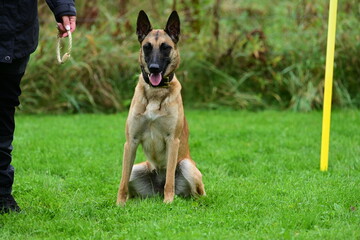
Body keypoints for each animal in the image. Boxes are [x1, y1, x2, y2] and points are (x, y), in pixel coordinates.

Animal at [116, 9, 205, 204]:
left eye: (165, 47)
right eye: (147, 47)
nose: (154, 68)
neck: (155, 93)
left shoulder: (173, 140)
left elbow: (170, 179)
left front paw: (168, 202)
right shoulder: (131, 142)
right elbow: (122, 181)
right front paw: (120, 204)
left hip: (186, 165)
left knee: (196, 194)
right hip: (136, 168)